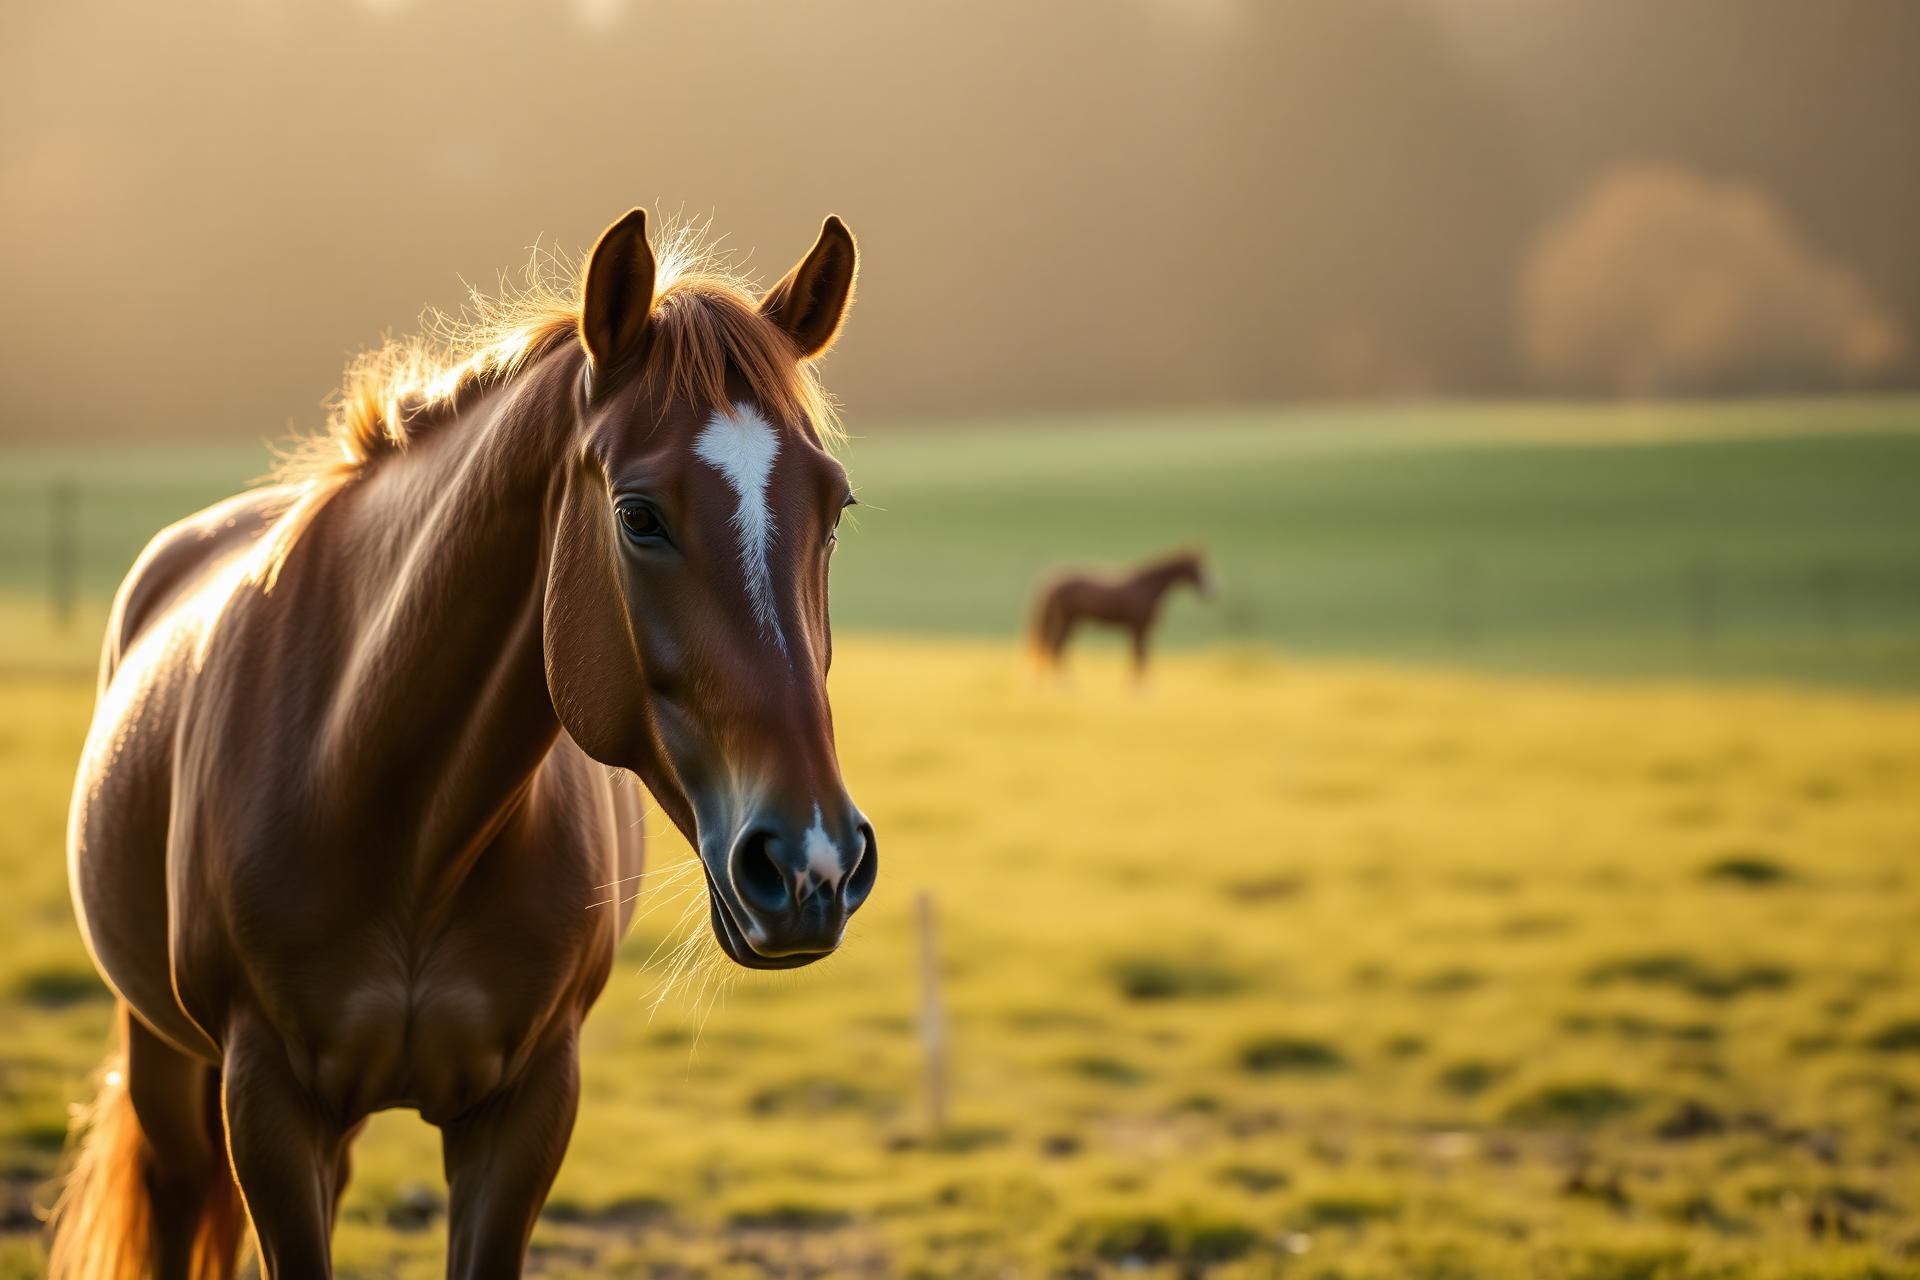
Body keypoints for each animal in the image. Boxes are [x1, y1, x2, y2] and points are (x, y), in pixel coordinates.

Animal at [53, 207, 876, 1279]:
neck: (403, 824)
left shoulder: (526, 1108)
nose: (815, 862)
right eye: (639, 515)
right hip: (167, 1067)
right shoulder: (264, 1103)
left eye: (834, 508)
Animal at [1030, 549, 1212, 678]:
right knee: (1056, 649)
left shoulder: (1138, 630)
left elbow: (1138, 657)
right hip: (1068, 621)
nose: (1212, 592)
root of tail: (1053, 580)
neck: (1148, 587)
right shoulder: (1140, 628)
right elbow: (1140, 658)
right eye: (1197, 569)